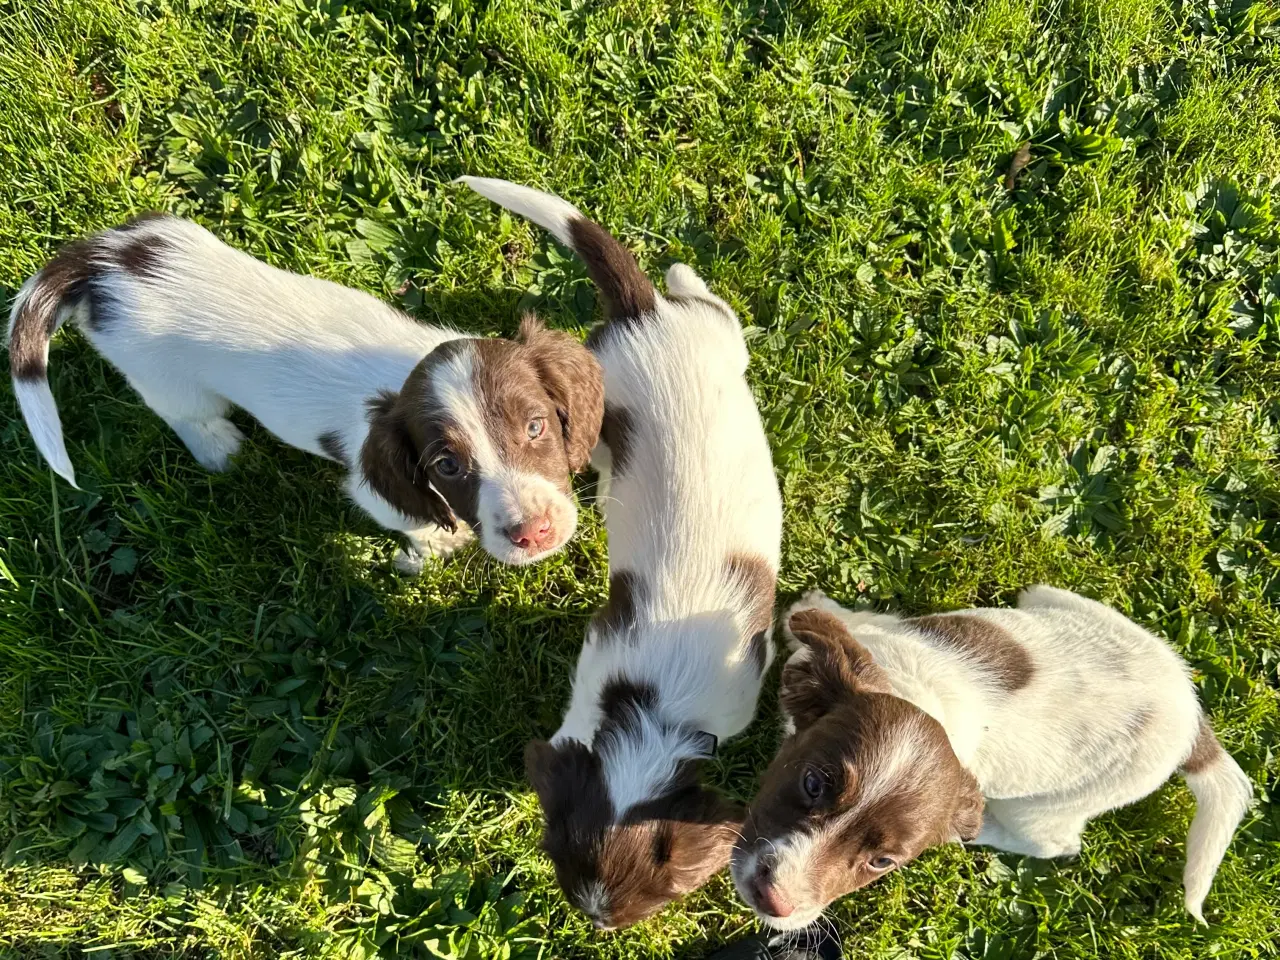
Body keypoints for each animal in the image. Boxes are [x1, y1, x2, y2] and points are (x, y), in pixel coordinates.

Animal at [5, 216, 604, 570]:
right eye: (448, 467)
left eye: (536, 426)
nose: (534, 533)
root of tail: (102, 265)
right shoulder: (371, 487)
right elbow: (412, 519)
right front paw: (439, 541)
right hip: (162, 377)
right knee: (184, 413)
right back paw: (219, 448)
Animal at [460, 175, 778, 931]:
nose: (597, 923)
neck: (655, 710)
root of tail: (645, 317)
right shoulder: (600, 657)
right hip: (634, 371)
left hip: (699, 346)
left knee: (713, 308)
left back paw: (679, 273)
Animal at [737, 586, 1254, 931]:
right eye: (812, 784)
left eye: (882, 862)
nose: (773, 901)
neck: (924, 700)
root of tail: (1192, 720)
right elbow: (855, 627)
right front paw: (814, 613)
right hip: (1059, 600)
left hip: (1052, 807)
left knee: (1056, 843)